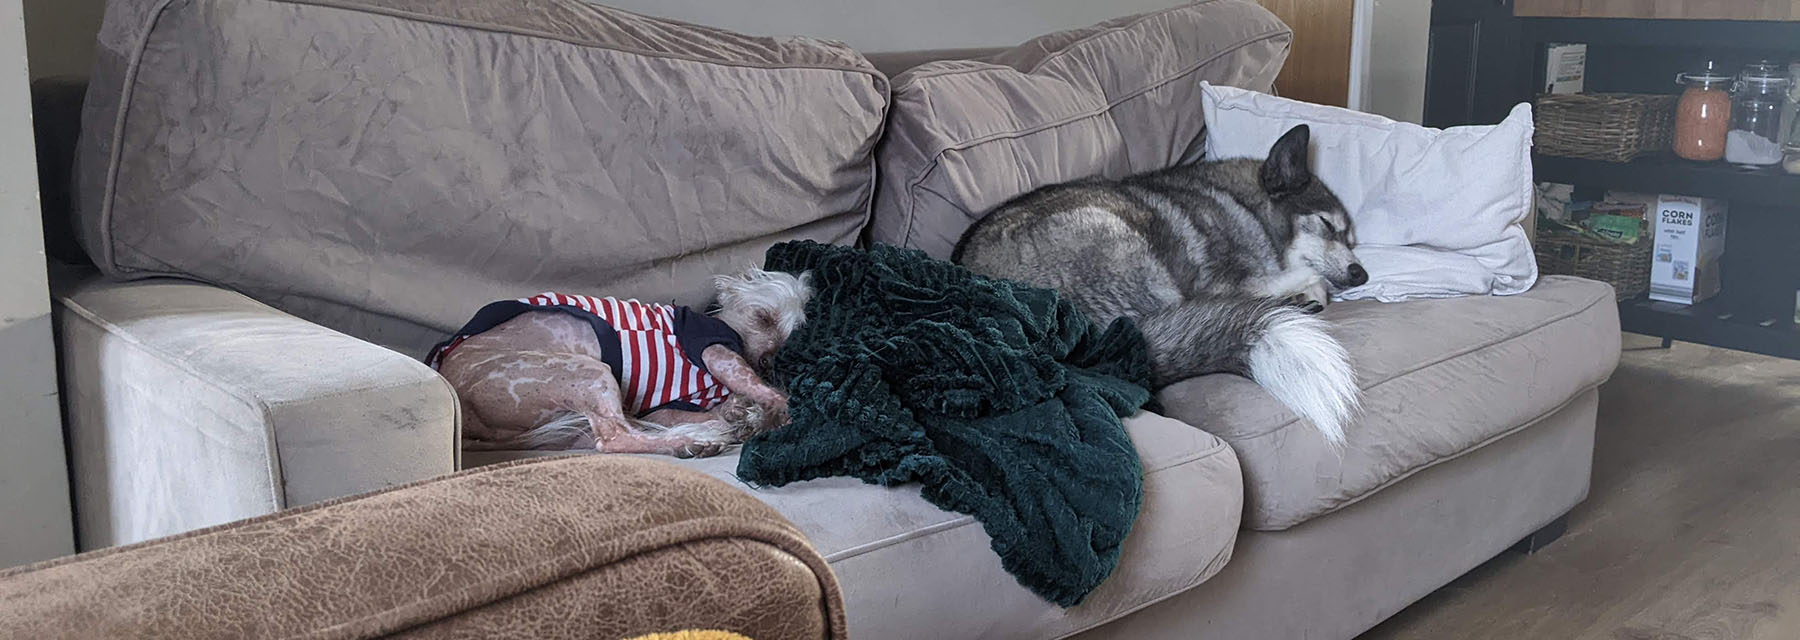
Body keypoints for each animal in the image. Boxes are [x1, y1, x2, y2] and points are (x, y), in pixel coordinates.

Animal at [428, 267, 810, 456]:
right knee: (613, 439)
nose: (768, 360)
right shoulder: (712, 348)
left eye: (790, 334)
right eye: (763, 317)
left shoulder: (664, 408)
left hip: (570, 422)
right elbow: (760, 386)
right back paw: (690, 443)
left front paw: (739, 412)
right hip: (588, 372)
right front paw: (776, 409)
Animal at [957, 124, 1360, 445]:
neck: (1246, 207)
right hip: (1121, 239)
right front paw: (1308, 288)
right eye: (1327, 224)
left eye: (1352, 240)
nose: (1362, 274)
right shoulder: (1222, 282)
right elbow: (1307, 278)